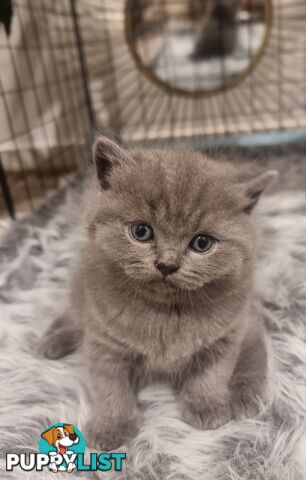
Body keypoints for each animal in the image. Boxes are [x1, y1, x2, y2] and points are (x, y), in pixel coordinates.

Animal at [38, 135, 278, 450]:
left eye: (202, 243)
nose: (167, 264)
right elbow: (109, 386)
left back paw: (245, 394)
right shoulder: (104, 340)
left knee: (254, 346)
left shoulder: (225, 336)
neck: (165, 312)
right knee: (73, 314)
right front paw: (112, 426)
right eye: (141, 231)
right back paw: (52, 342)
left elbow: (211, 374)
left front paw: (207, 407)